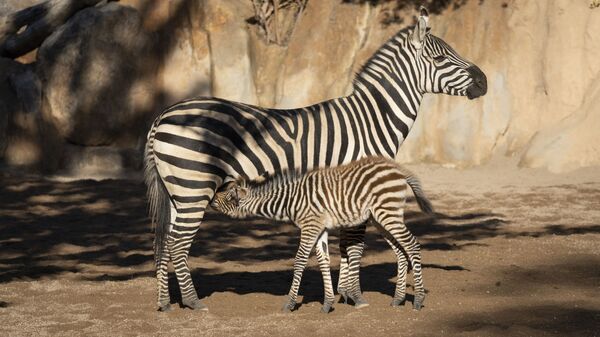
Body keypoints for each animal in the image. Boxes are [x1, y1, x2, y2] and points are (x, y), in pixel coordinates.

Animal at [212, 156, 436, 312]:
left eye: (228, 196)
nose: (211, 198)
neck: (290, 201)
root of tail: (397, 169)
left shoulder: (310, 226)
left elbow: (300, 260)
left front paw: (290, 303)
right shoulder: (320, 229)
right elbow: (324, 261)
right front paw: (328, 303)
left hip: (387, 213)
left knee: (412, 245)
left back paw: (418, 300)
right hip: (380, 218)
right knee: (401, 250)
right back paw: (398, 299)